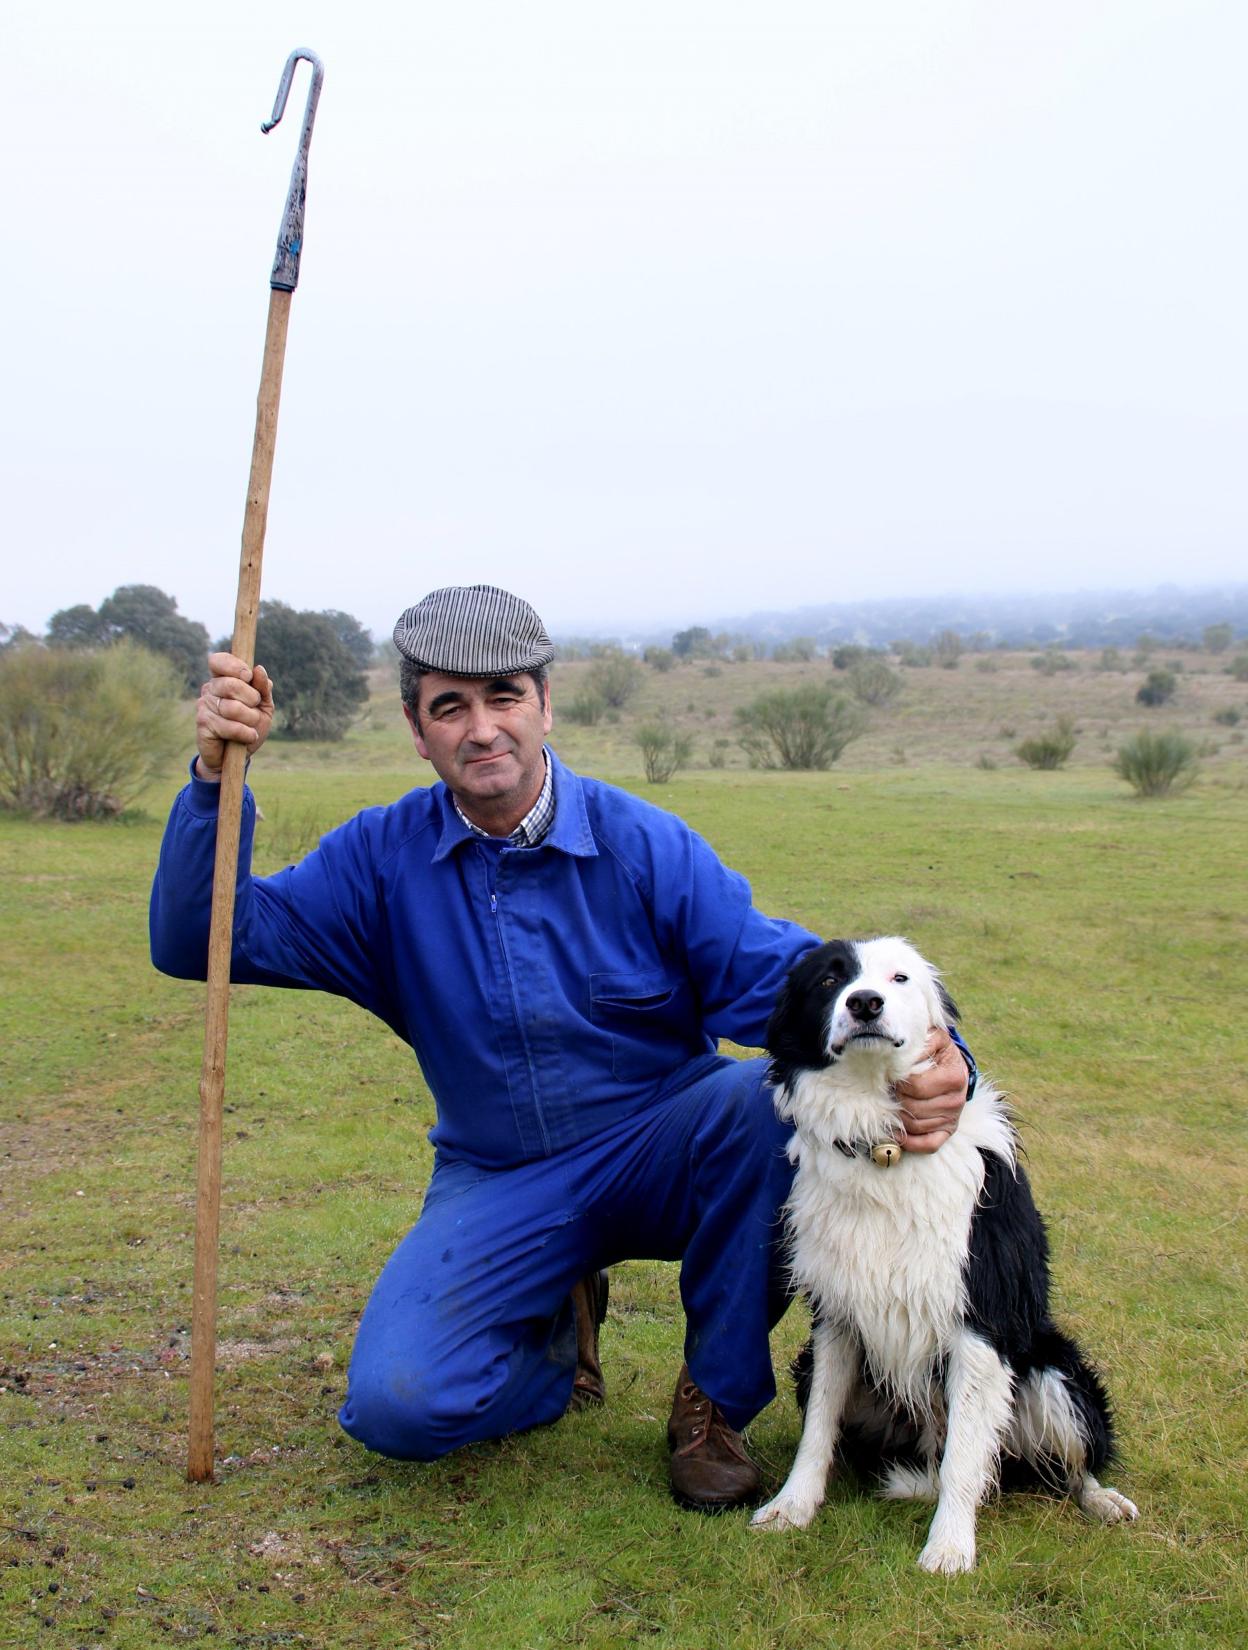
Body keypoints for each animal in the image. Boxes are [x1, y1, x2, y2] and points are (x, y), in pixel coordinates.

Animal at [749, 943, 1142, 1570]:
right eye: (830, 980)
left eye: (899, 977)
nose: (865, 1003)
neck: (884, 1144)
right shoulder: (836, 1316)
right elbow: (816, 1432)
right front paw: (792, 1507)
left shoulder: (981, 1319)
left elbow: (965, 1456)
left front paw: (951, 1548)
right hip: (815, 1368)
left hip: (1055, 1369)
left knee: (1063, 1467)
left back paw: (1104, 1501)